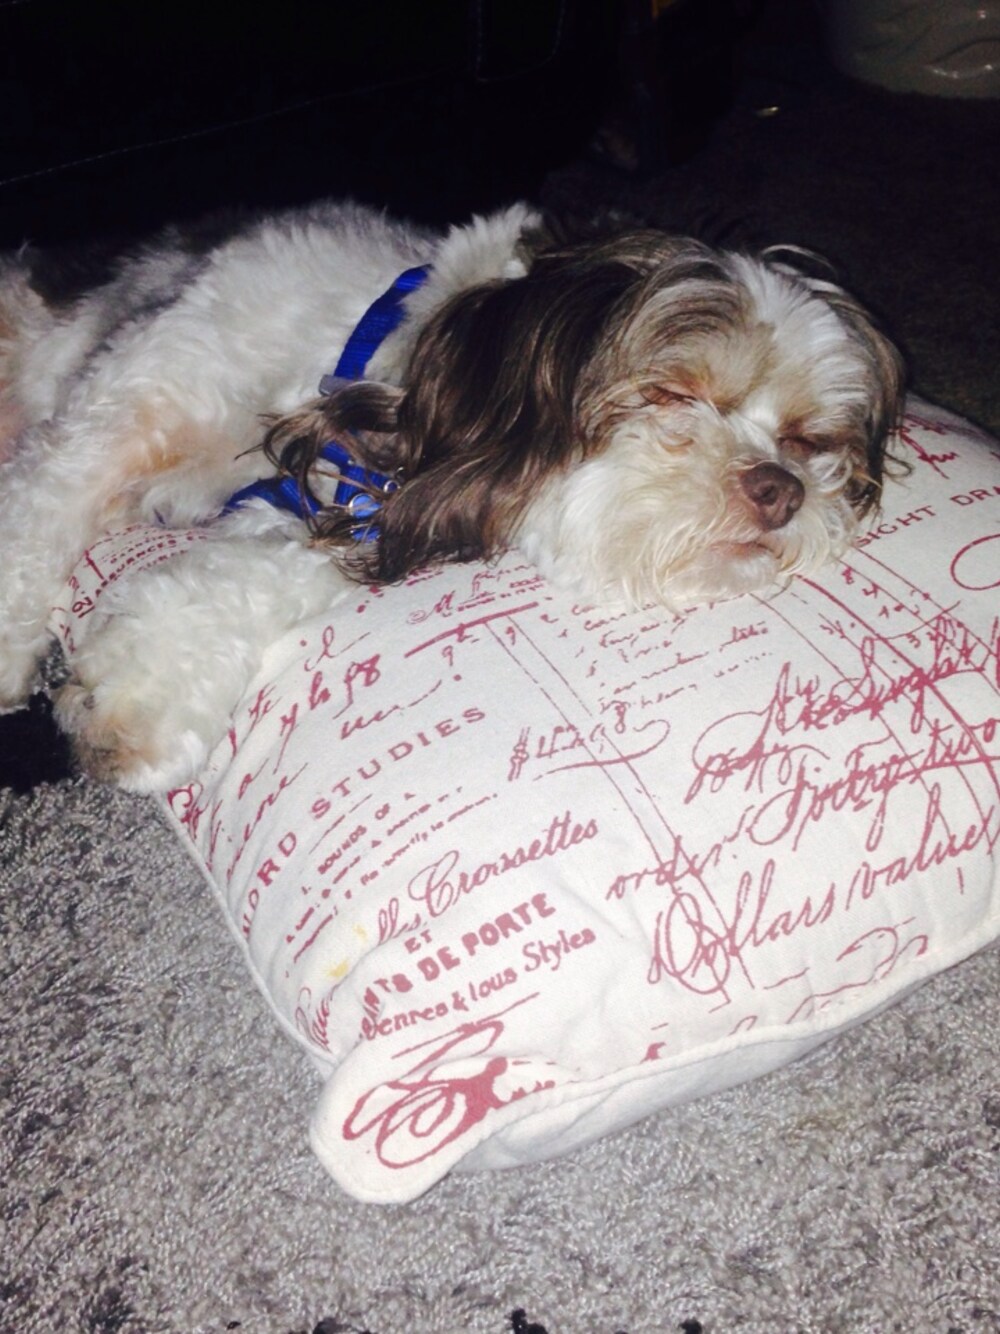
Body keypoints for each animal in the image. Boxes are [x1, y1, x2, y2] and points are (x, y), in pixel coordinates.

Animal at [0, 199, 903, 790]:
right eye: (674, 392)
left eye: (807, 439)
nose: (780, 489)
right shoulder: (127, 407)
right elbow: (38, 514)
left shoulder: (364, 512)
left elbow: (257, 573)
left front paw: (143, 692)